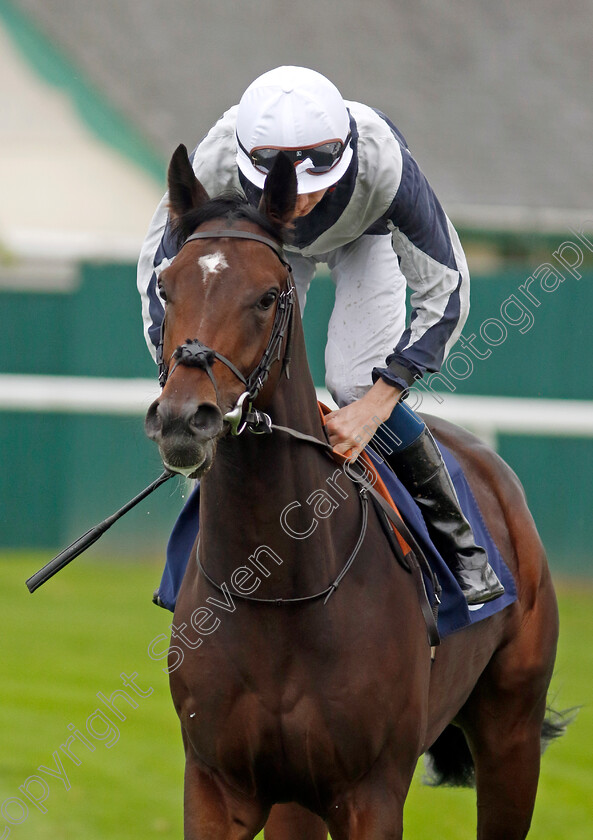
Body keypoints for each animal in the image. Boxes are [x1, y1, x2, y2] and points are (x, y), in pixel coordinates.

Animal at [146, 148, 560, 836]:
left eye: (267, 296)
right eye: (165, 286)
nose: (184, 418)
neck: (278, 591)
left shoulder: (371, 792)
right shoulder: (216, 784)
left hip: (512, 731)